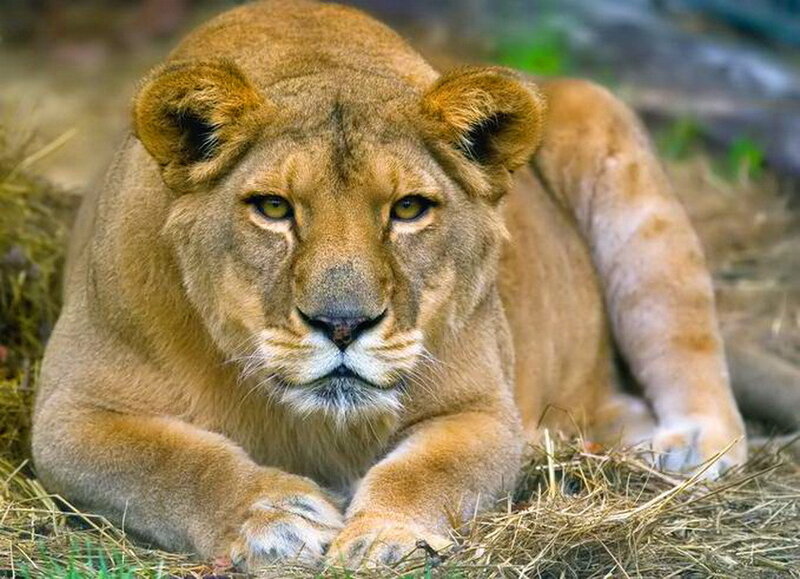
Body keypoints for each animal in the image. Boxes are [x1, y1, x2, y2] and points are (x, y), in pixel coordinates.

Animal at [32, 0, 757, 569]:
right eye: (273, 208)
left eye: (408, 209)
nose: (343, 324)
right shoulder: (69, 414)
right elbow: (172, 461)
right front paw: (274, 518)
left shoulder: (484, 410)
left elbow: (425, 469)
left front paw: (383, 535)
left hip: (608, 133)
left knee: (686, 336)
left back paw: (688, 449)